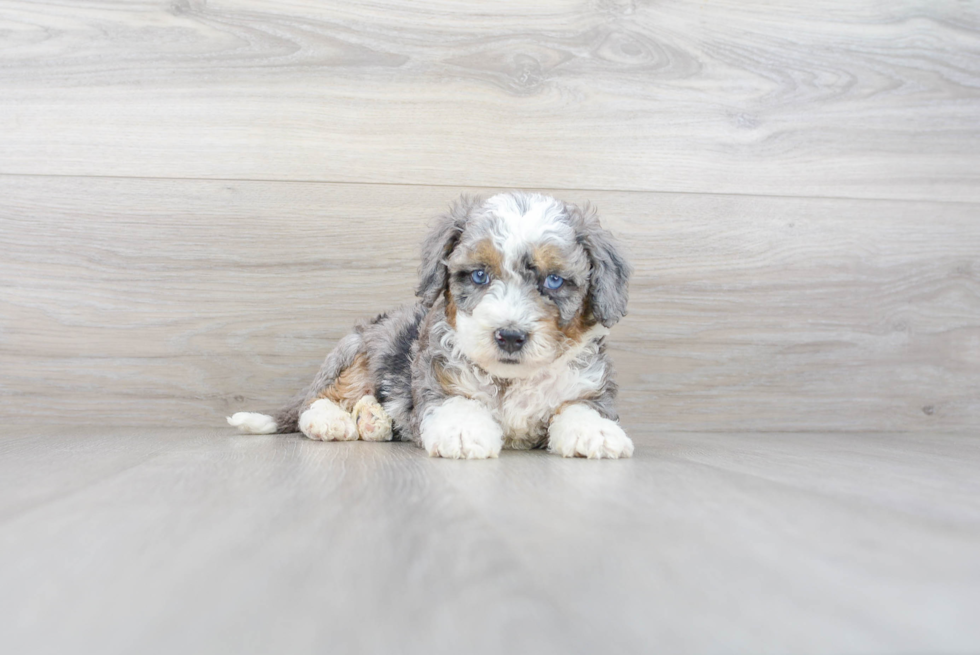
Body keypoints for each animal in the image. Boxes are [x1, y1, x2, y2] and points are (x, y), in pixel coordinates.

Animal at [226, 191, 632, 462]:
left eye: (554, 281)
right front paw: (464, 431)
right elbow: (457, 403)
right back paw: (334, 422)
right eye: (480, 275)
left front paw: (595, 432)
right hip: (359, 351)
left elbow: (581, 407)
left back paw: (374, 421)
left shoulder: (588, 387)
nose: (510, 336)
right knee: (317, 400)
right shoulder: (436, 378)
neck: (510, 379)